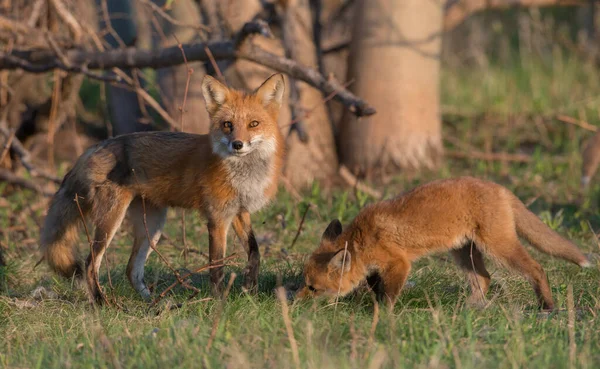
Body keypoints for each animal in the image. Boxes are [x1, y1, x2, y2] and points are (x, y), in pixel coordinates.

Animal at [39, 72, 286, 302]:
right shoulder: (217, 218)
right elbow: (216, 267)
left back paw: (152, 304)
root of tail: (95, 147)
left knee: (131, 270)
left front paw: (250, 289)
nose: (237, 144)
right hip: (111, 220)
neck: (243, 175)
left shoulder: (239, 212)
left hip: (153, 226)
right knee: (91, 264)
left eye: (253, 124)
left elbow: (254, 252)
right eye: (228, 125)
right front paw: (217, 303)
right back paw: (104, 304)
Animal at [296, 177, 592, 310]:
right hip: (463, 253)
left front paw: (381, 314)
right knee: (484, 278)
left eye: (313, 288)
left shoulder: (399, 263)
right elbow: (373, 284)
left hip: (498, 247)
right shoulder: (378, 267)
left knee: (537, 268)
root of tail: (499, 186)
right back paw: (471, 306)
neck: (361, 238)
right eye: (304, 284)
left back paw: (547, 306)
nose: (292, 304)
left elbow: (387, 295)